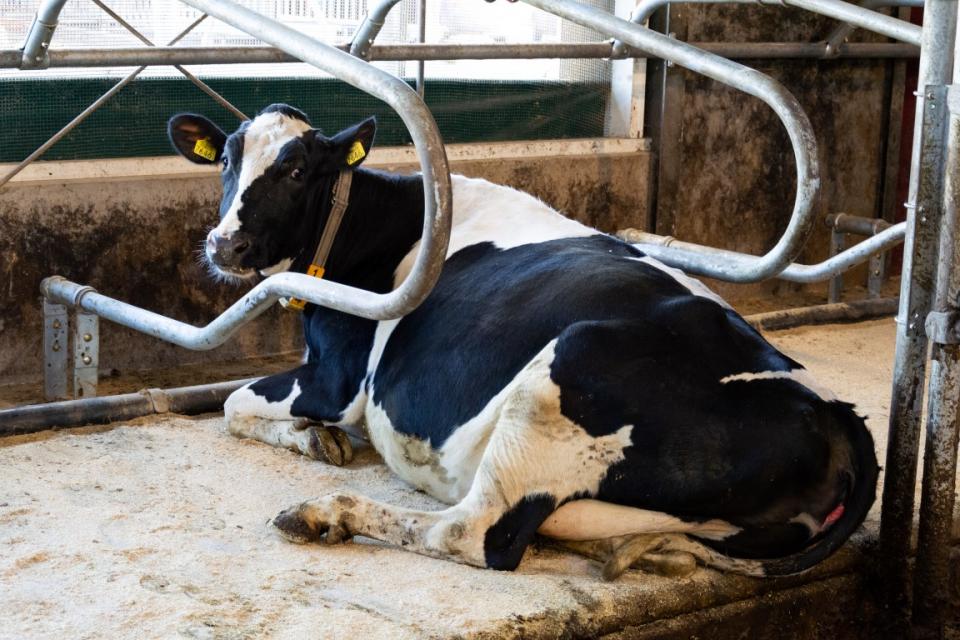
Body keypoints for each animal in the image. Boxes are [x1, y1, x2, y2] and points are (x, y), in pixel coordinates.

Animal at [167, 104, 878, 579]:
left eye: (294, 171)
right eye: (227, 160)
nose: (225, 245)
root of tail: (836, 416)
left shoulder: (336, 379)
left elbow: (231, 405)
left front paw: (310, 438)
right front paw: (314, 440)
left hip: (565, 372)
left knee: (476, 533)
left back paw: (326, 513)